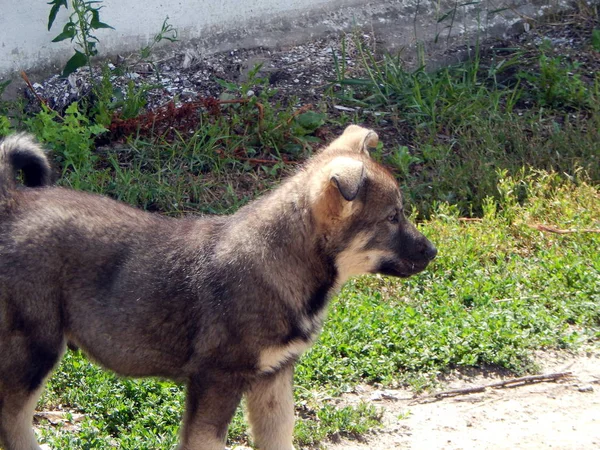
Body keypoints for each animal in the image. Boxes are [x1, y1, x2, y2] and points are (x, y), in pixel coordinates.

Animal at [0, 126, 434, 450]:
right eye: (393, 217)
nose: (432, 251)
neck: (283, 261)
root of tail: (12, 203)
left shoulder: (273, 379)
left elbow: (279, 438)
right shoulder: (217, 380)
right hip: (35, 347)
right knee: (12, 420)